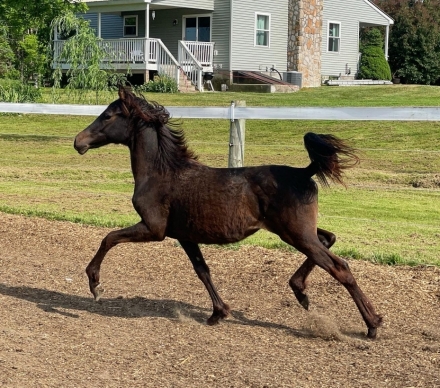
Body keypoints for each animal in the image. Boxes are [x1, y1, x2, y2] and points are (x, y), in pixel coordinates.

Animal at [73, 86, 382, 338]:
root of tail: (304, 172)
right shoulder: (185, 235)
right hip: (301, 231)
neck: (162, 173)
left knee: (340, 267)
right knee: (329, 239)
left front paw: (95, 284)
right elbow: (202, 270)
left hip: (296, 234)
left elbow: (109, 238)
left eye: (108, 116)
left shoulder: (153, 228)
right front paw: (218, 313)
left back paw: (372, 324)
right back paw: (300, 292)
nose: (78, 142)